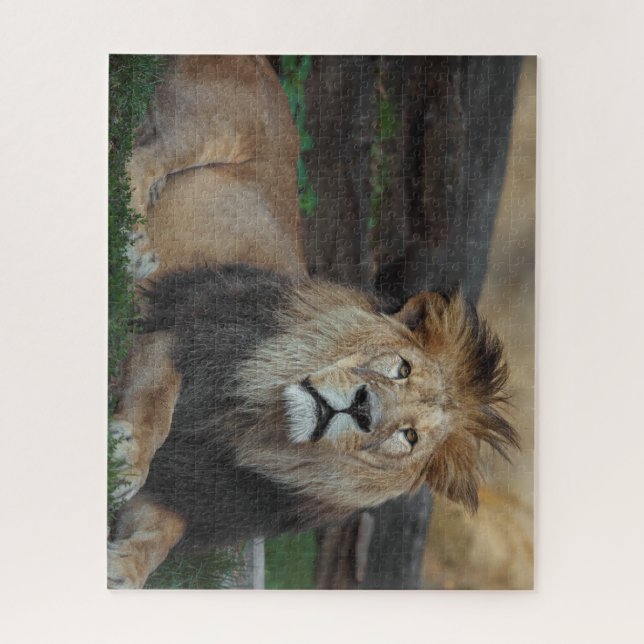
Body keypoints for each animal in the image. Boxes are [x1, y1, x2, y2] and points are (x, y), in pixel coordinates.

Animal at [108, 56, 518, 589]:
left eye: (409, 438)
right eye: (402, 368)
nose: (362, 409)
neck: (254, 420)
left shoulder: (196, 488)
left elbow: (160, 537)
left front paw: (125, 569)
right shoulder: (178, 326)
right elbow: (158, 407)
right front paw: (127, 460)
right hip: (212, 124)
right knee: (141, 159)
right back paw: (135, 247)